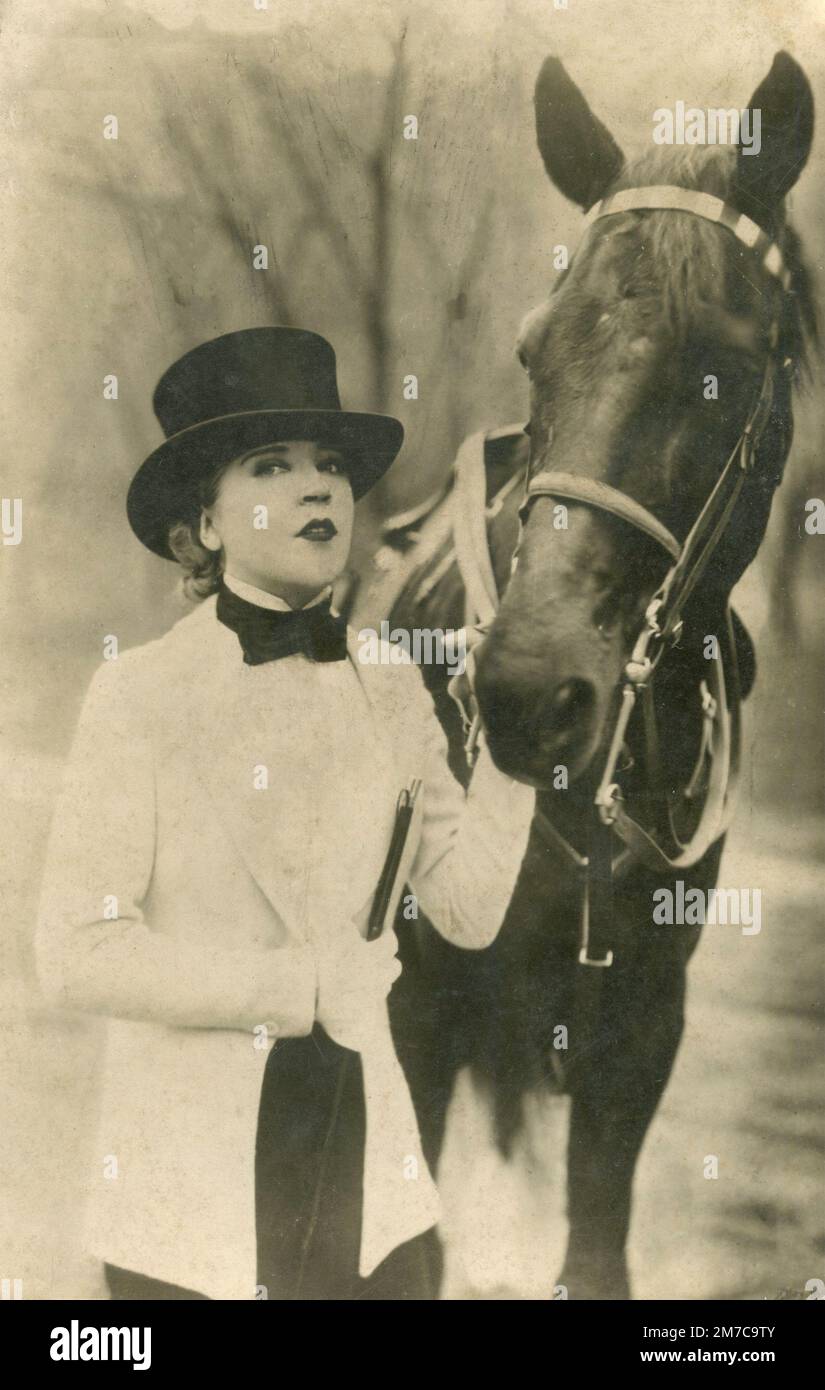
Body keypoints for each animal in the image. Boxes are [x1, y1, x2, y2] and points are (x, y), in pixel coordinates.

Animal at [383, 48, 811, 1295]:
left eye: (724, 362)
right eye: (534, 348)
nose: (529, 689)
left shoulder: (641, 1026)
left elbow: (597, 1242)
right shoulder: (420, 1003)